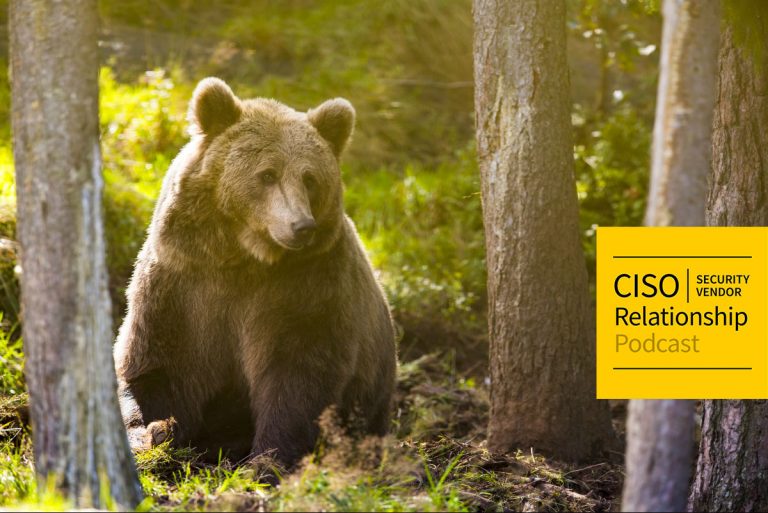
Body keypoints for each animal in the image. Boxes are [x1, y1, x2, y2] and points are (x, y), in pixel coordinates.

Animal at [113, 77, 397, 466]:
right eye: (267, 174)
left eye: (310, 178)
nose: (301, 226)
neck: (244, 258)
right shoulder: (180, 282)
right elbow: (153, 364)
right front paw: (152, 432)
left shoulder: (308, 289)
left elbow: (298, 378)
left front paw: (268, 458)